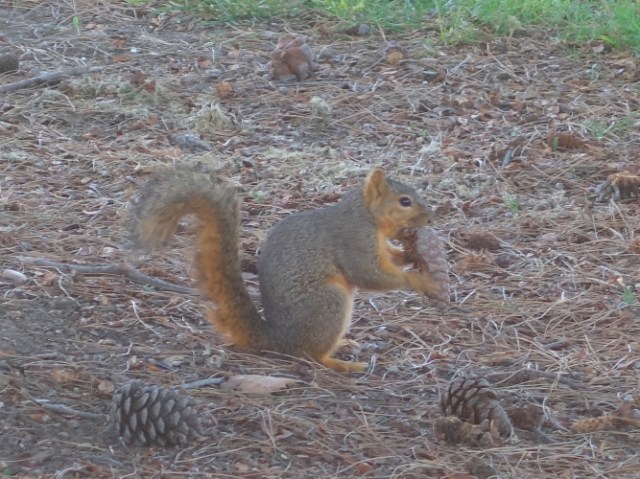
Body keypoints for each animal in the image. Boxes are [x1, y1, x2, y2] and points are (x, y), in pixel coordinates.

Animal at [134, 168, 441, 372]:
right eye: (404, 201)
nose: (430, 217)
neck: (366, 216)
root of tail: (279, 339)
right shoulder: (353, 241)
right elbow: (369, 274)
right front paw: (421, 281)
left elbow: (389, 258)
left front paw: (410, 254)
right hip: (328, 301)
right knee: (310, 354)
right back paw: (342, 365)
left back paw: (343, 345)